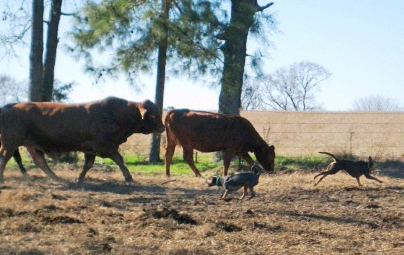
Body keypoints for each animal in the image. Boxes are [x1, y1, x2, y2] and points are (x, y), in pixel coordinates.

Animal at [0, 97, 164, 183]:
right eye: (154, 114)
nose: (162, 127)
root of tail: (11, 106)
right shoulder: (107, 146)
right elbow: (119, 160)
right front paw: (129, 177)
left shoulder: (91, 149)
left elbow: (88, 165)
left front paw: (79, 178)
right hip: (10, 142)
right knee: (5, 158)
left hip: (30, 144)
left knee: (40, 161)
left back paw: (57, 178)